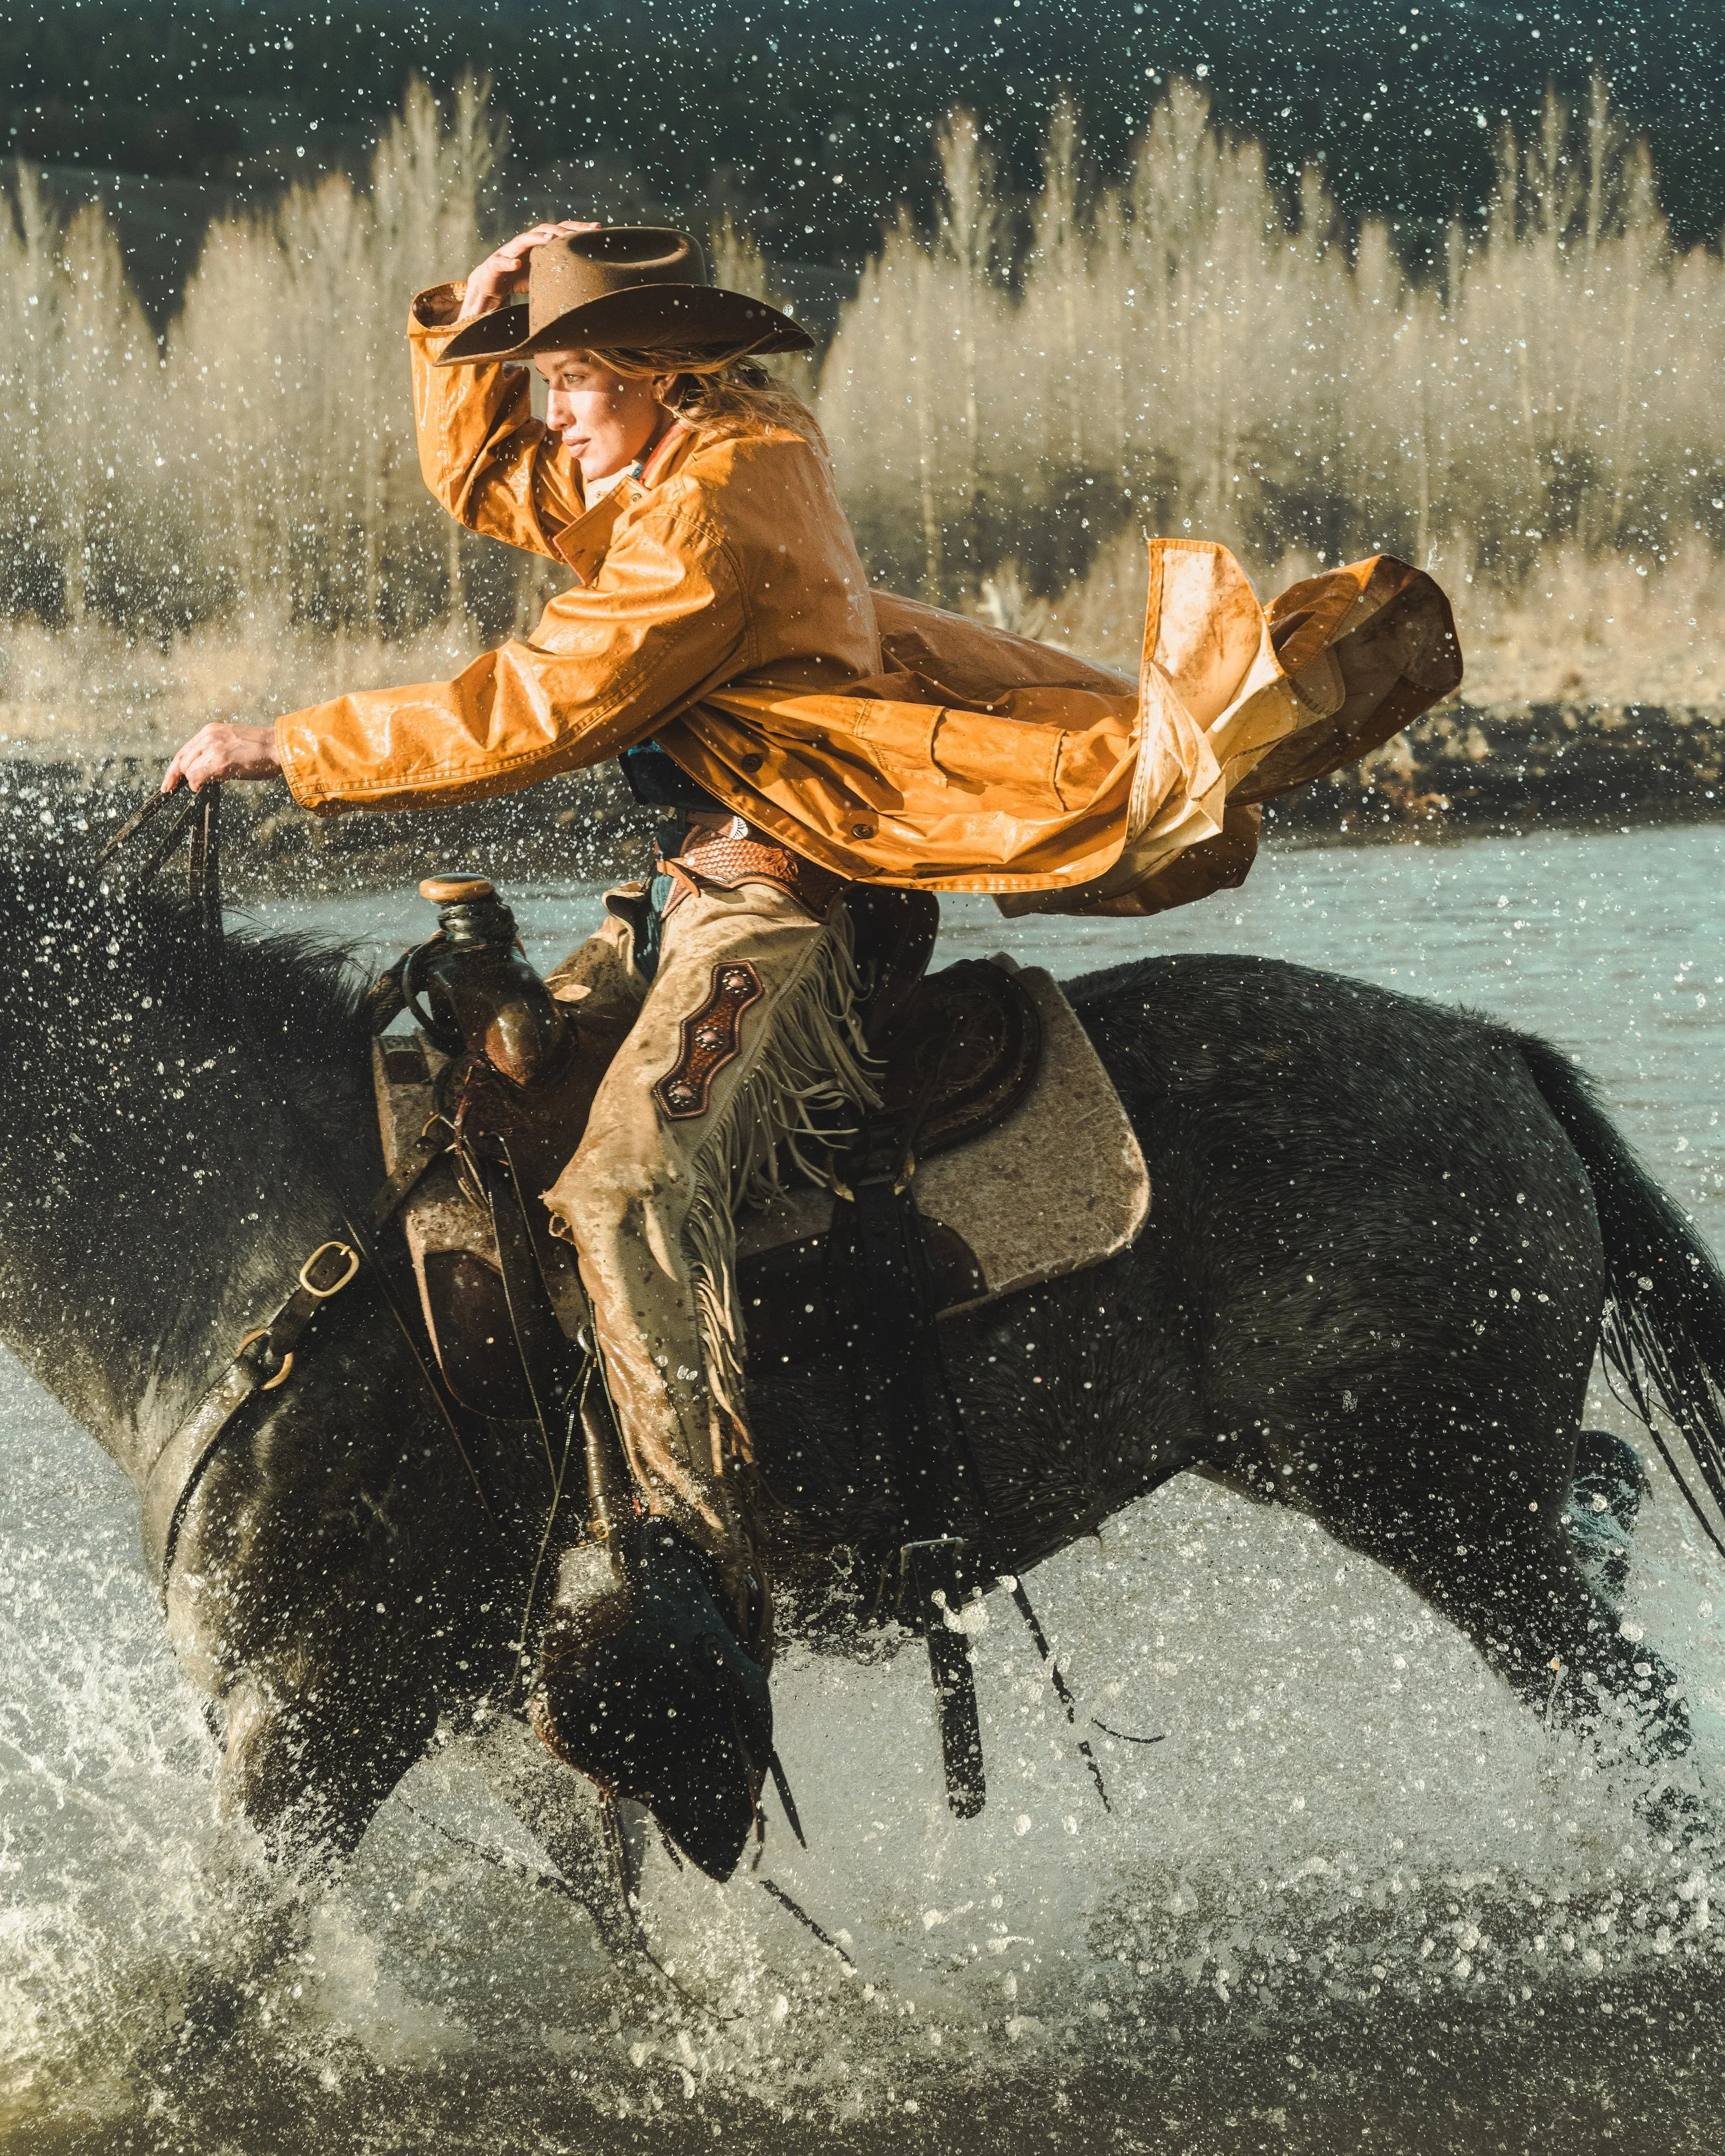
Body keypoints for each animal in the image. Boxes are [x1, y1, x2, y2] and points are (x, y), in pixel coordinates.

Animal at [3, 807, 1723, 2033]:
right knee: (1601, 1517)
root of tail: (1484, 1049)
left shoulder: (312, 1713)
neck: (271, 1248)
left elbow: (197, 1989)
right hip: (1428, 1479)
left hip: (1433, 1502)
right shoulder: (474, 1711)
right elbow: (623, 1934)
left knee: (1629, 1707)